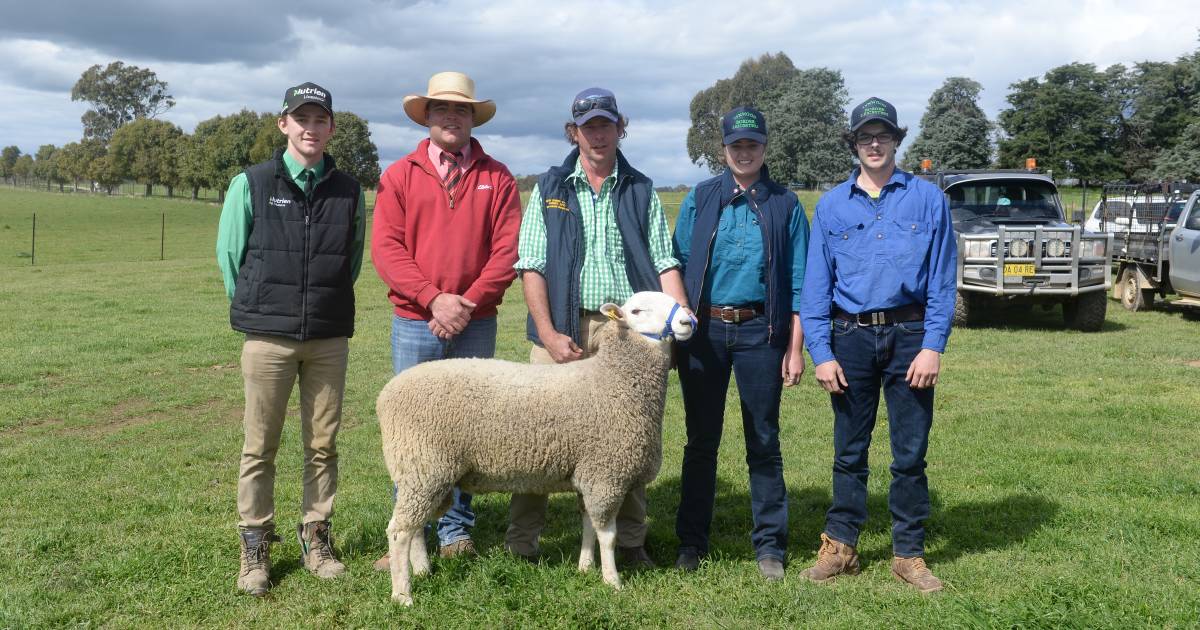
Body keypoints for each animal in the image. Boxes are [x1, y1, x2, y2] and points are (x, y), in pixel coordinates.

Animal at [374, 290, 696, 604]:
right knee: (399, 531)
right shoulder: (605, 475)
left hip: (423, 474)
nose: (686, 322)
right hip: (423, 466)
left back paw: (422, 571)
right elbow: (607, 534)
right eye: (637, 311)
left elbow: (588, 524)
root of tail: (387, 393)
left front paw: (585, 567)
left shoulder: (587, 473)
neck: (611, 380)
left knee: (415, 528)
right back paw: (403, 594)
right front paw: (612, 580)